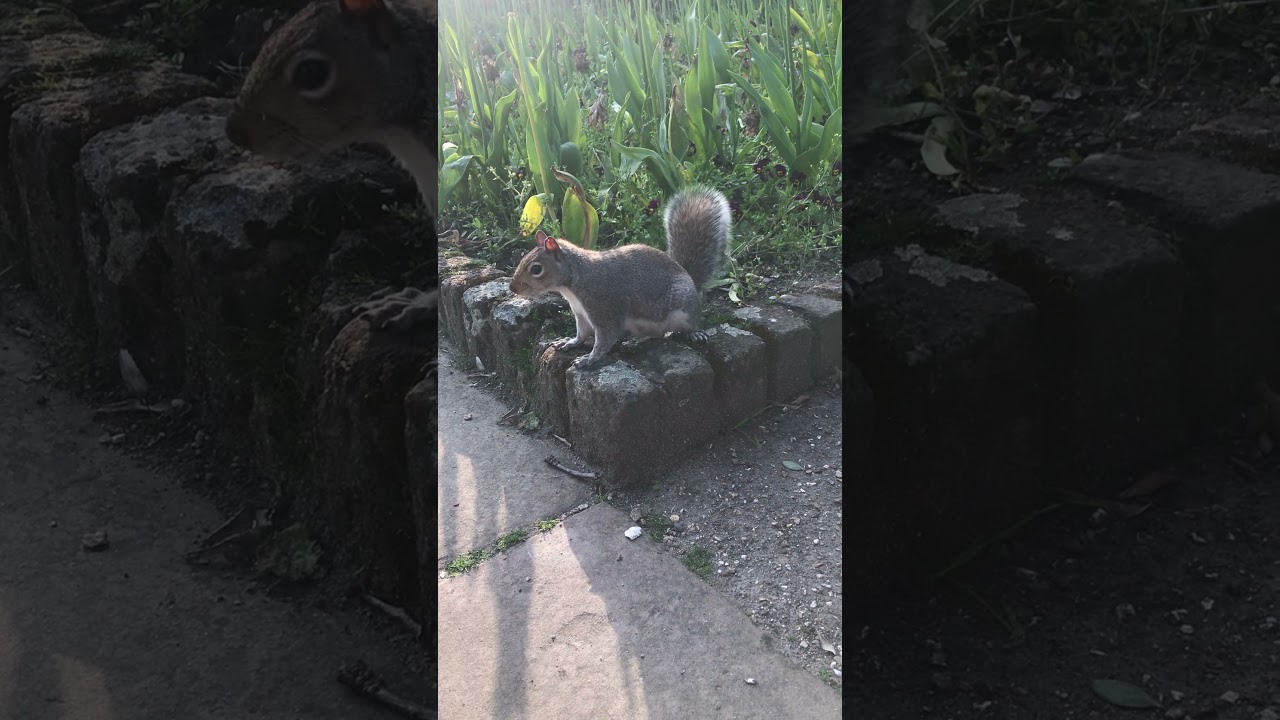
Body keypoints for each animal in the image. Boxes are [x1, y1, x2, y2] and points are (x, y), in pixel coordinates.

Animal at [509, 186, 732, 371]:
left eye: (536, 269)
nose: (512, 288)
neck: (574, 281)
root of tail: (691, 280)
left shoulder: (603, 307)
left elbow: (605, 338)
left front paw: (589, 359)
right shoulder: (581, 313)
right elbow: (582, 333)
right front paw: (570, 342)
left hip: (683, 305)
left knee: (691, 322)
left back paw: (694, 333)